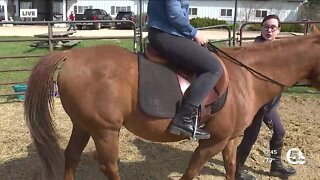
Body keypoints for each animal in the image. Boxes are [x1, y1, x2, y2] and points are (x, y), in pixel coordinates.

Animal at [24, 33, 320, 179]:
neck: (245, 77)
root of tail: (71, 55)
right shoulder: (212, 142)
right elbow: (191, 173)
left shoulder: (231, 140)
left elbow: (231, 169)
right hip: (105, 130)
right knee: (109, 167)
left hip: (84, 125)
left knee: (71, 157)